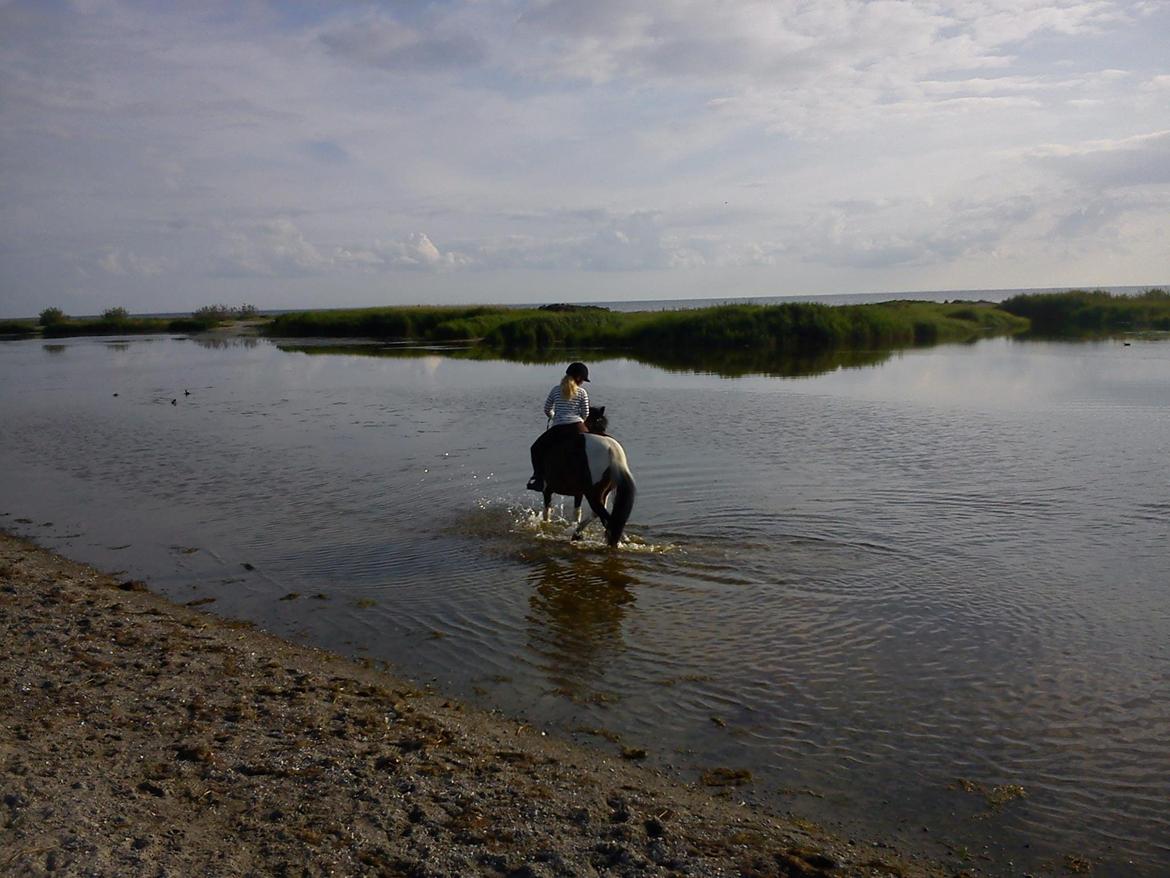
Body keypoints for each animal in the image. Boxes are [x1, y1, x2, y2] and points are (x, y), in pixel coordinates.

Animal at [536, 406, 636, 546]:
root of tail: (611, 449)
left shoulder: (547, 489)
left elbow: (547, 513)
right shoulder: (578, 492)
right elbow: (576, 513)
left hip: (593, 493)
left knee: (606, 516)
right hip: (603, 491)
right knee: (600, 515)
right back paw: (579, 534)